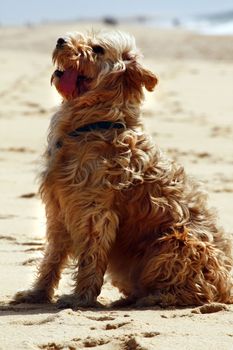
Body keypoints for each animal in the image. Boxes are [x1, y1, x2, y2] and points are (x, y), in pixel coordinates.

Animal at [13, 30, 232, 308]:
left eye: (97, 49)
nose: (61, 40)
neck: (95, 124)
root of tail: (228, 287)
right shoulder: (58, 209)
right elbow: (52, 256)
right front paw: (37, 294)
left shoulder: (95, 212)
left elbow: (90, 257)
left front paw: (80, 298)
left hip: (176, 242)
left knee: (198, 290)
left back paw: (157, 297)